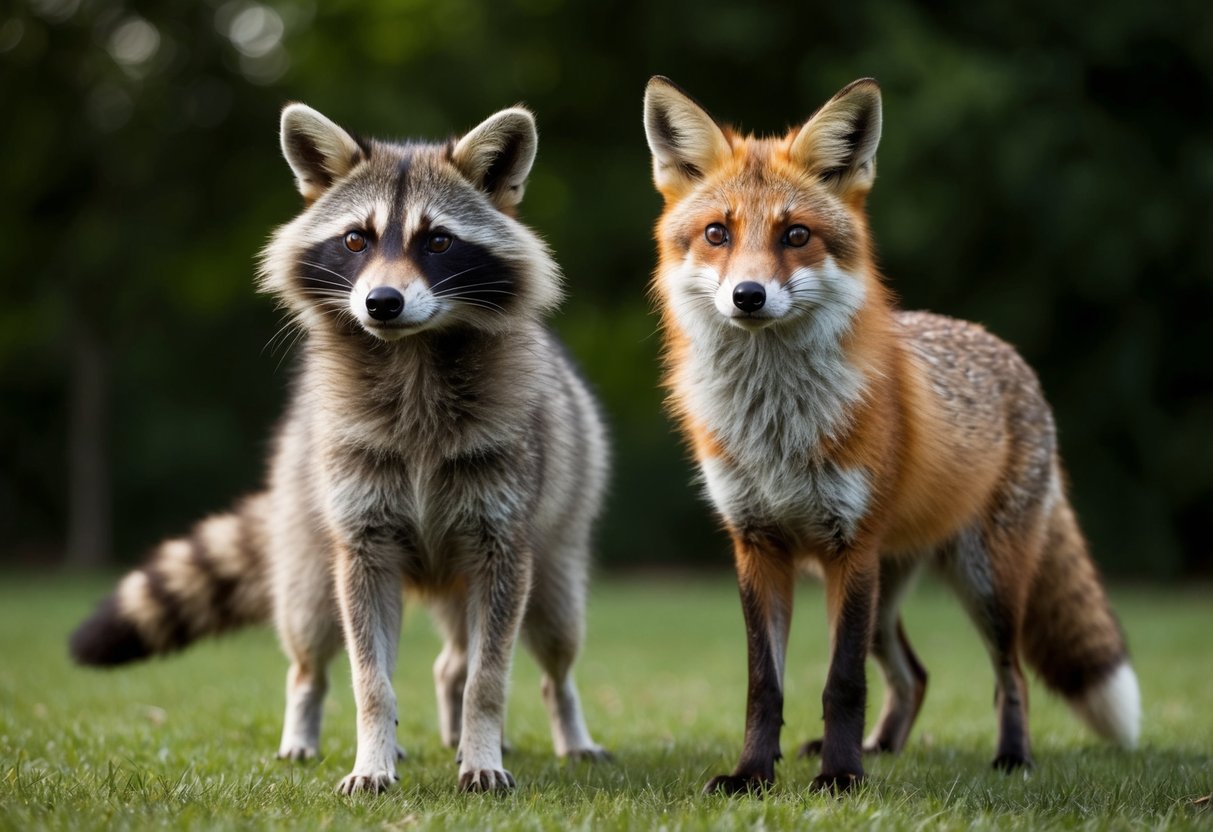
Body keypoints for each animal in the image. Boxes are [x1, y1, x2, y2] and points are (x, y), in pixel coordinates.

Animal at [69, 102, 610, 793]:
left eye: (438, 241)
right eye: (357, 240)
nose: (382, 303)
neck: (413, 355)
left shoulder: (504, 529)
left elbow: (490, 674)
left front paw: (481, 744)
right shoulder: (362, 532)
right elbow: (368, 674)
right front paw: (372, 751)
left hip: (551, 555)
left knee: (548, 647)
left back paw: (548, 726)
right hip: (310, 531)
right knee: (314, 643)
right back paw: (310, 721)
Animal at [642, 76, 1141, 794]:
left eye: (795, 234)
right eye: (717, 233)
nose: (748, 295)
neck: (777, 428)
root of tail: (1007, 354)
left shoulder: (851, 546)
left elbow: (842, 682)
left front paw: (840, 778)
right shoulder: (758, 545)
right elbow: (765, 685)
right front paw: (753, 774)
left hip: (980, 580)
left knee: (1009, 676)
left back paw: (1009, 758)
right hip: (881, 591)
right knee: (915, 676)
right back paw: (884, 748)